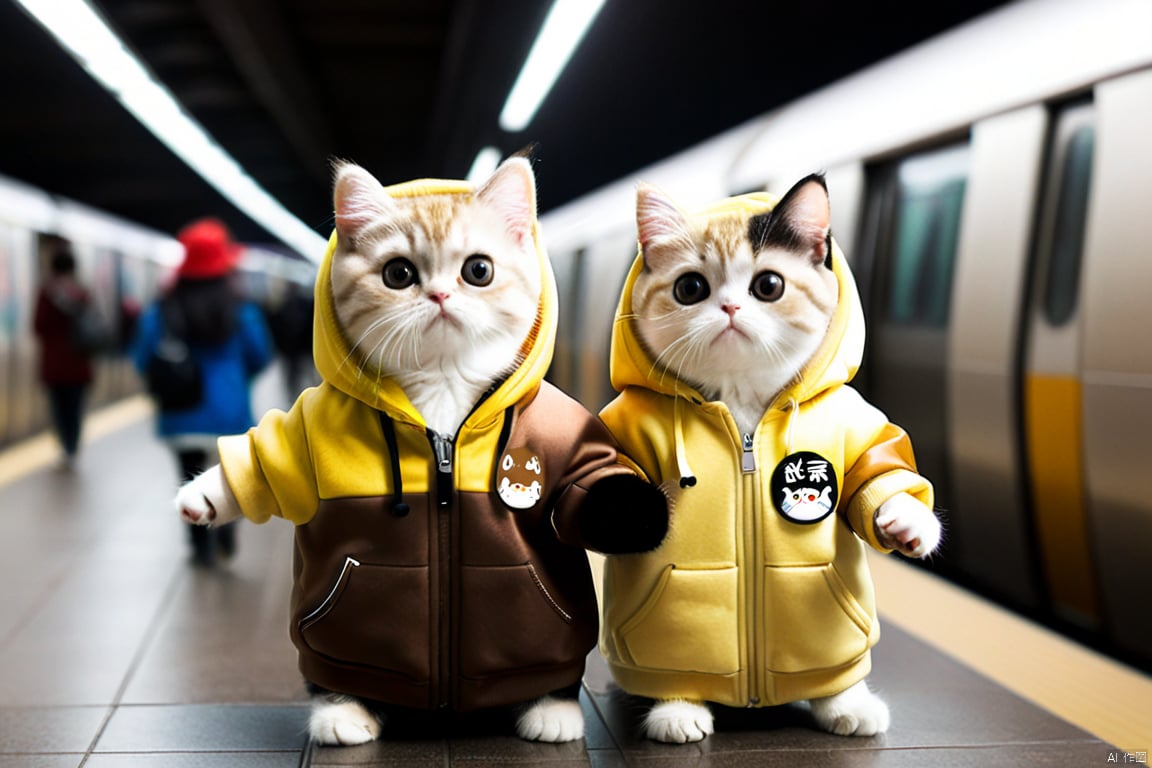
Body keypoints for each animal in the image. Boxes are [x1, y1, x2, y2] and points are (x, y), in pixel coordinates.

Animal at [176, 154, 672, 746]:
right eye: (398, 274)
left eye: (478, 270)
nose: (439, 296)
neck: (442, 394)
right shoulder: (304, 432)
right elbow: (263, 461)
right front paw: (201, 498)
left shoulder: (564, 433)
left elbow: (586, 488)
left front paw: (637, 512)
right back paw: (342, 709)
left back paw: (550, 705)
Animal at [599, 176, 940, 746]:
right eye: (690, 288)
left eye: (768, 286)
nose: (730, 309)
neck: (743, 419)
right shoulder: (622, 429)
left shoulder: (856, 427)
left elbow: (879, 473)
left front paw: (906, 522)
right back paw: (677, 708)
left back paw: (845, 701)